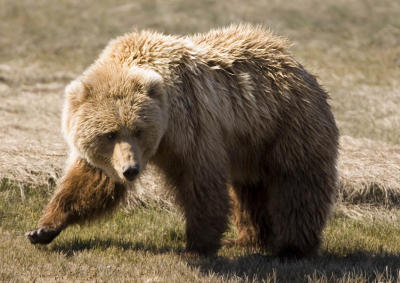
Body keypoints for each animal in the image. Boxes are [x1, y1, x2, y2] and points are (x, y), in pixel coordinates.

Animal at [25, 24, 338, 260]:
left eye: (138, 130)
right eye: (110, 134)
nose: (131, 170)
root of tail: (297, 63)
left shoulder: (192, 126)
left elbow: (200, 183)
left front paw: (197, 247)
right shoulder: (113, 155)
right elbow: (91, 179)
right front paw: (43, 229)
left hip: (286, 125)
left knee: (296, 184)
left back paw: (292, 248)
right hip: (249, 145)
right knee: (250, 190)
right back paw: (250, 238)